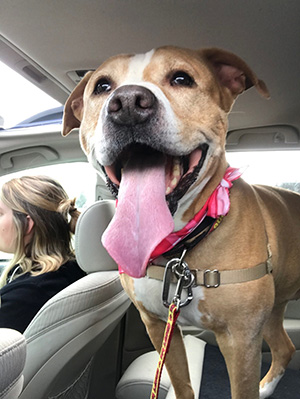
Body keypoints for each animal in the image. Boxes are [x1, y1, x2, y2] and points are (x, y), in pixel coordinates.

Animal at [61, 45, 300, 398]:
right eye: (102, 86)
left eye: (182, 79)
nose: (128, 103)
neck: (182, 246)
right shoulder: (159, 326)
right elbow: (181, 382)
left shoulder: (241, 340)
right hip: (273, 308)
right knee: (285, 347)